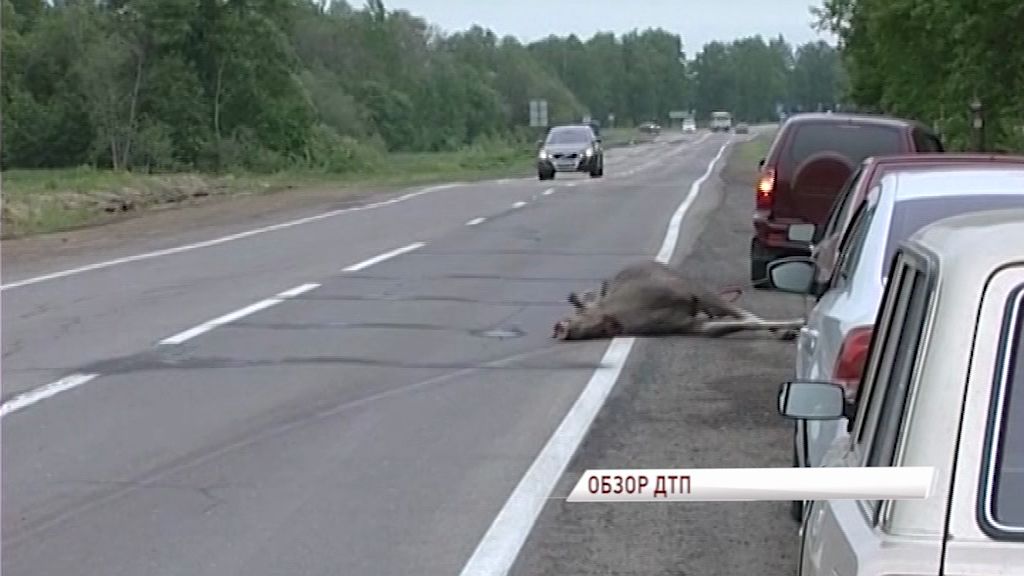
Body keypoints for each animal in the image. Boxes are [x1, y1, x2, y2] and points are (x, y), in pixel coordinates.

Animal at [552, 260, 805, 341]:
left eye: (579, 308)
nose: (557, 327)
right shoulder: (690, 325)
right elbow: (739, 324)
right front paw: (793, 326)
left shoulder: (694, 292)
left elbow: (748, 318)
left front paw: (798, 322)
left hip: (701, 290)